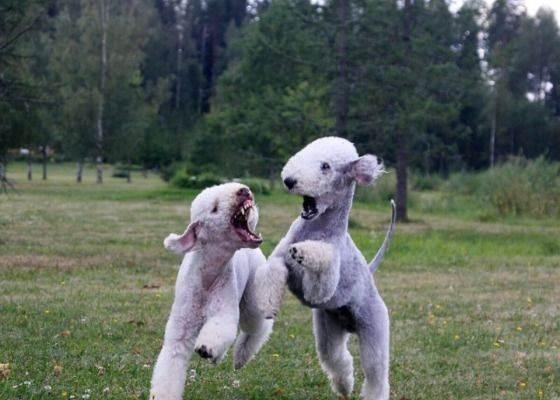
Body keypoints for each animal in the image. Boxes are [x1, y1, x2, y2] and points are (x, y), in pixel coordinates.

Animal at [149, 183, 272, 400]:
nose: (244, 190)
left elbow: (220, 328)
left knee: (257, 327)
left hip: (251, 300)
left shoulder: (223, 312)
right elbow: (171, 361)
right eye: (214, 208)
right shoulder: (180, 331)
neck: (207, 276)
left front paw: (206, 348)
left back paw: (240, 357)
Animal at [256, 138, 396, 400]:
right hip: (329, 328)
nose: (289, 180)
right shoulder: (279, 258)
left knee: (376, 372)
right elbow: (274, 269)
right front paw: (268, 305)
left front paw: (303, 252)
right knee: (336, 357)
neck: (315, 228)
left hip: (374, 327)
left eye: (325, 167)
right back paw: (344, 387)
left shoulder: (326, 281)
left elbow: (321, 267)